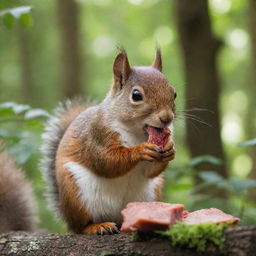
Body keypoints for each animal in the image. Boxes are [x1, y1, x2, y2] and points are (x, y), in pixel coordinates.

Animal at [40, 49, 176, 235]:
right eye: (136, 95)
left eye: (174, 93)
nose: (167, 118)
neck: (137, 133)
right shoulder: (98, 135)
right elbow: (106, 162)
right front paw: (140, 150)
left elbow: (149, 172)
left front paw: (170, 151)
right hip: (75, 193)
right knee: (80, 226)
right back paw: (97, 226)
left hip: (152, 191)